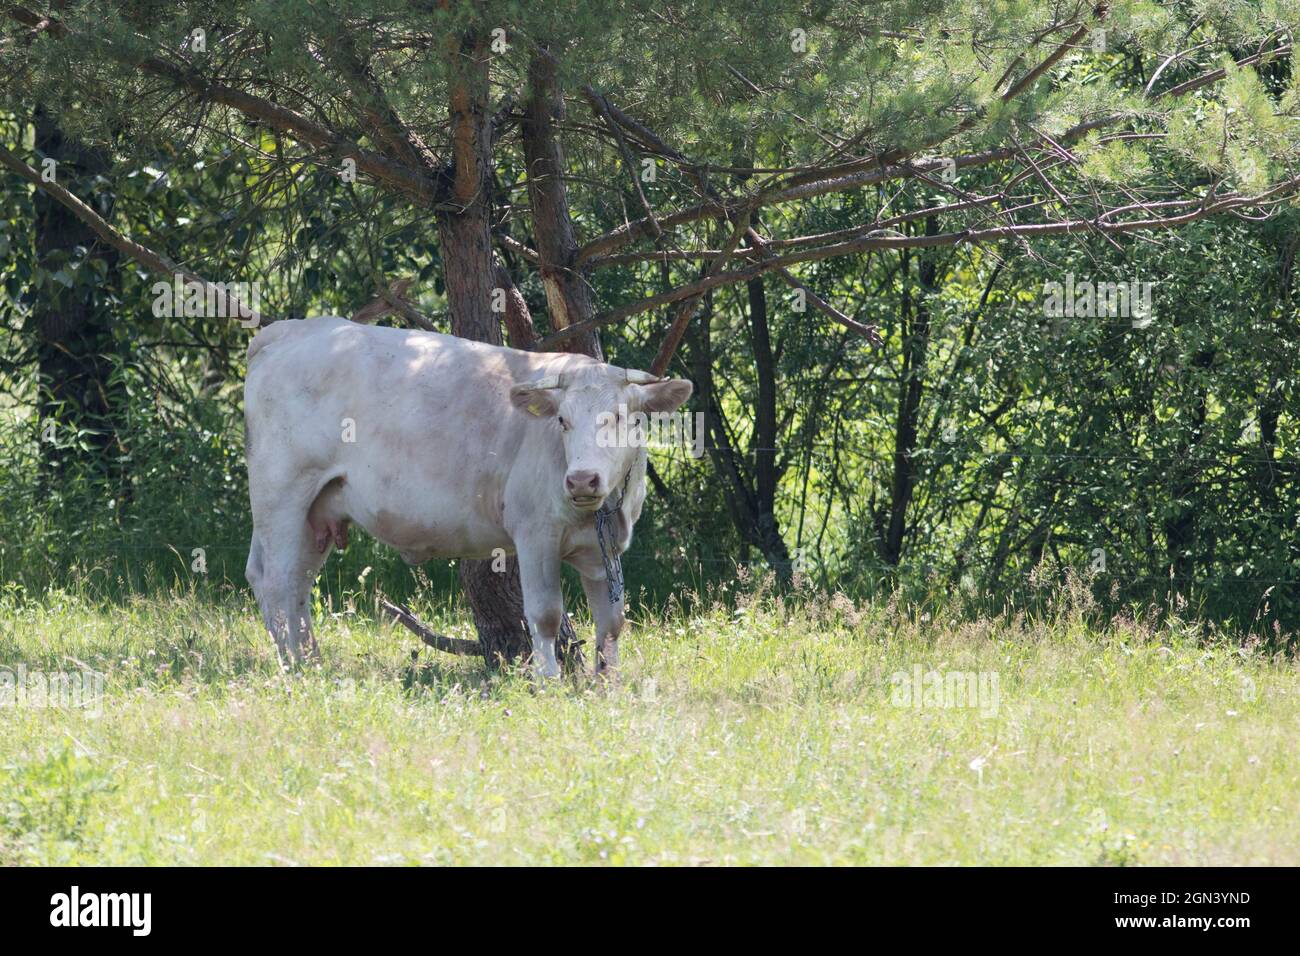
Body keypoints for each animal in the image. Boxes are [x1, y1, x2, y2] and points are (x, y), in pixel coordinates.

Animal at [242, 316, 692, 677]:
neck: (602, 510)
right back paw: (293, 668)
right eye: (562, 421)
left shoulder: (606, 548)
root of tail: (293, 328)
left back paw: (311, 661)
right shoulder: (536, 534)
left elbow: (611, 620)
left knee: (296, 585)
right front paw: (548, 680)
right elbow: (545, 615)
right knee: (277, 582)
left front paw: (607, 682)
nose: (582, 480)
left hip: (315, 512)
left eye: (622, 417)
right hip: (281, 496)